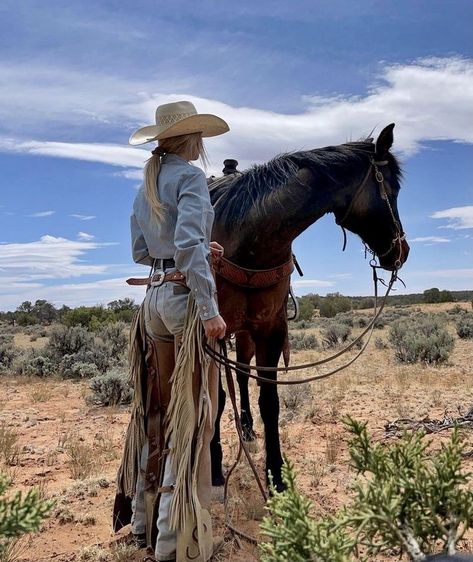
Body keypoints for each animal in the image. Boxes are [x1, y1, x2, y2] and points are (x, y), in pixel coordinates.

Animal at [208, 124, 408, 488]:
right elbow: (214, 399)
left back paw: (247, 428)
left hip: (245, 333)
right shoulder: (210, 333)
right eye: (393, 187)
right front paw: (213, 464)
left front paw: (276, 475)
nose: (402, 250)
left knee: (241, 375)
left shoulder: (270, 329)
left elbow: (269, 400)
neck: (247, 244)